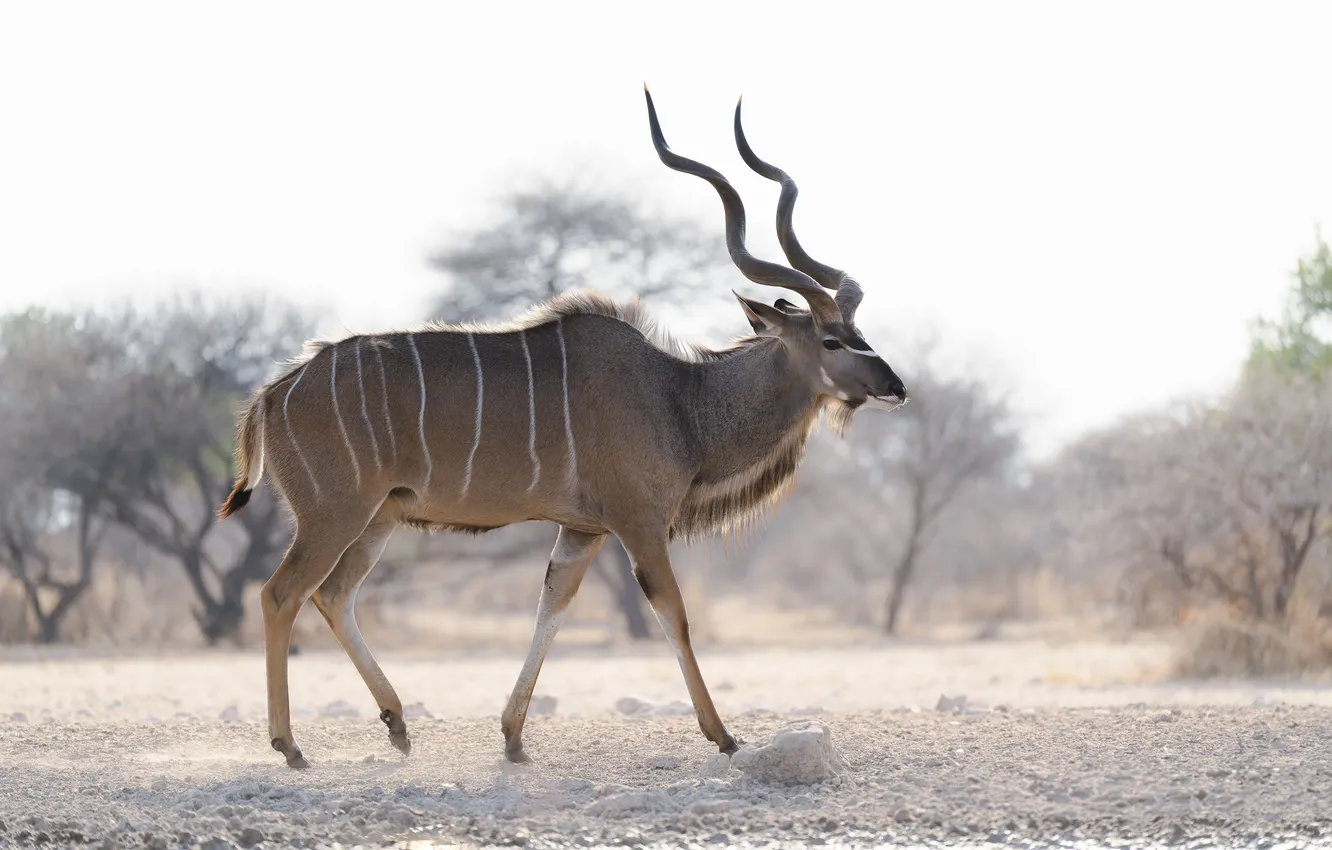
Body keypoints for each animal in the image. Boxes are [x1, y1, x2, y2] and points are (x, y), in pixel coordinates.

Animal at [218, 86, 908, 769]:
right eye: (832, 339)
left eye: (857, 330)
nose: (896, 387)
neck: (678, 398)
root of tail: (275, 392)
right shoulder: (637, 523)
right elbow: (673, 613)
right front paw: (723, 735)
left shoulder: (582, 530)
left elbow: (552, 606)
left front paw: (514, 738)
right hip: (334, 514)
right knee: (281, 594)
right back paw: (290, 745)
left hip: (381, 514)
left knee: (335, 595)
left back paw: (397, 723)